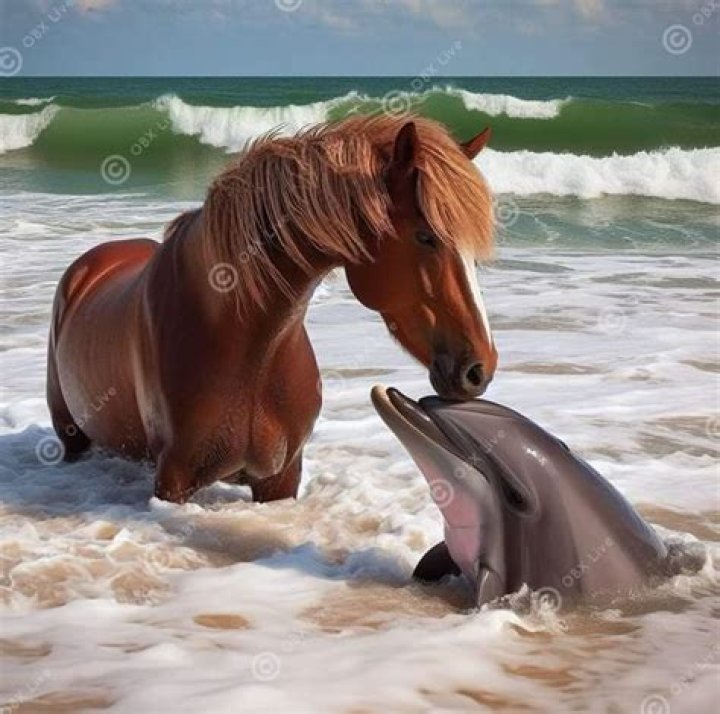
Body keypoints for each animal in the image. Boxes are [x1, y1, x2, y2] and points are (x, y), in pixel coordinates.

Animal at [46, 114, 497, 504]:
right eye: (426, 236)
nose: (479, 370)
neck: (247, 347)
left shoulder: (281, 479)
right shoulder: (173, 481)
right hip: (72, 436)